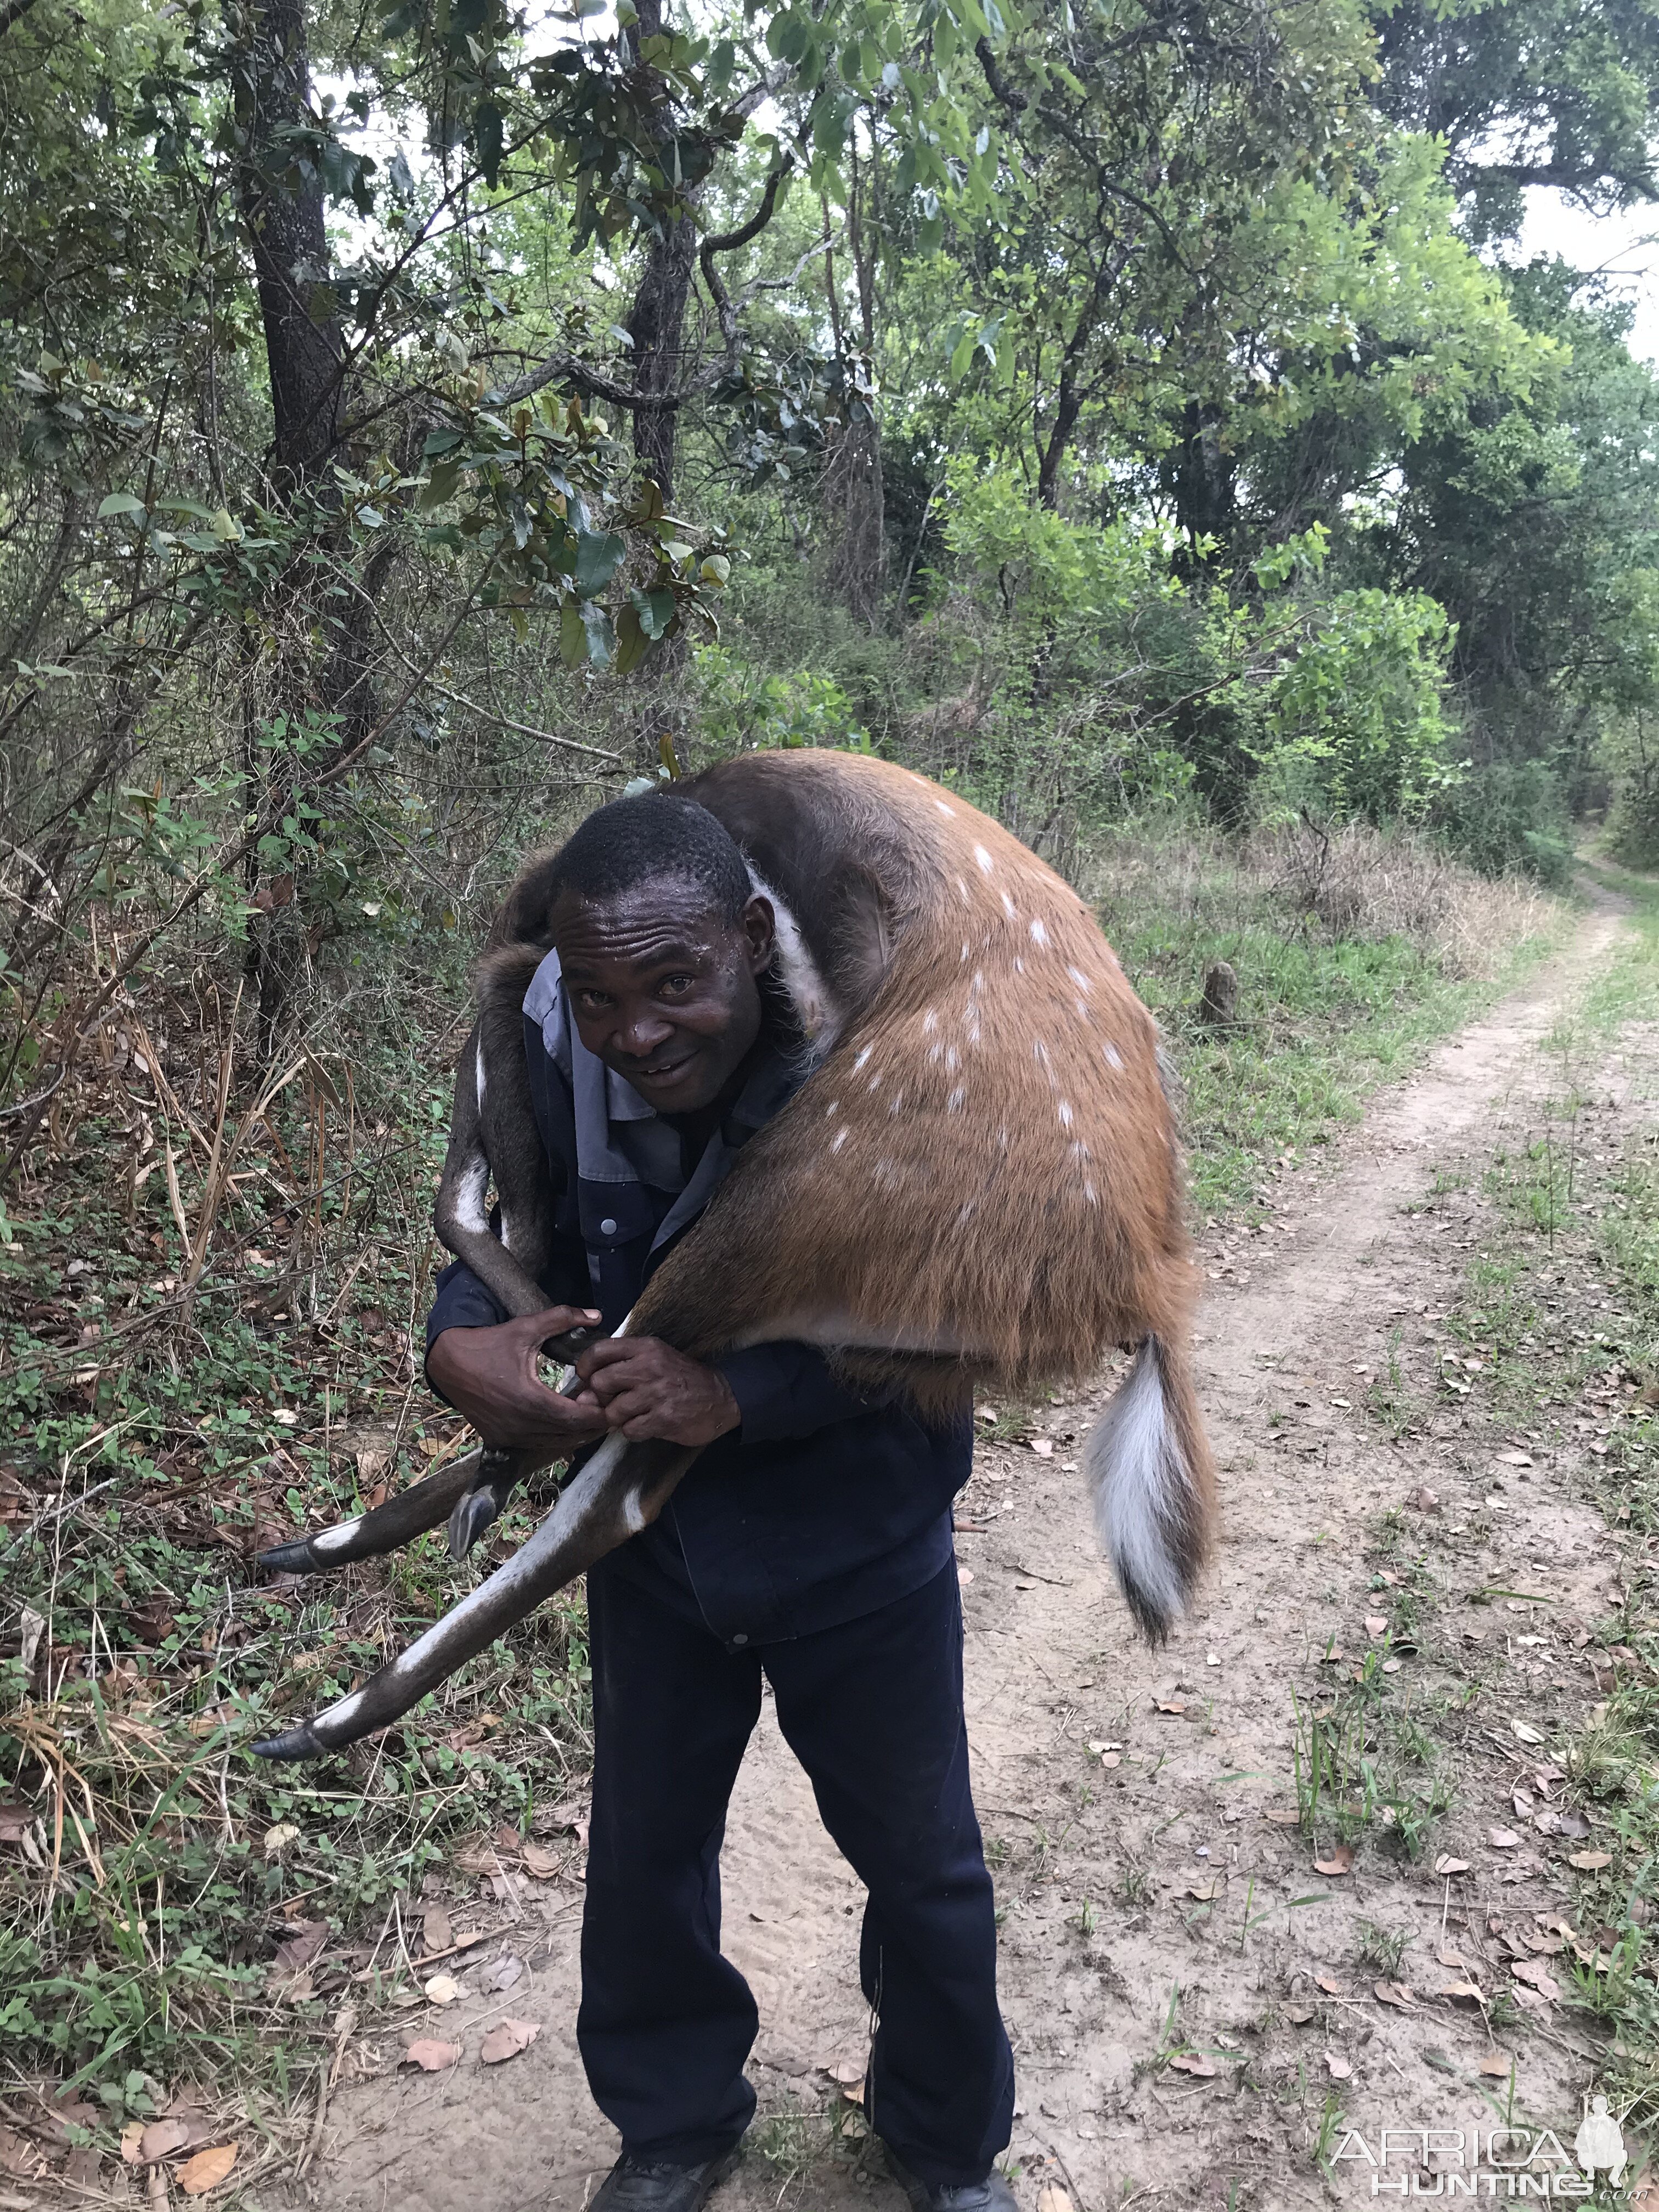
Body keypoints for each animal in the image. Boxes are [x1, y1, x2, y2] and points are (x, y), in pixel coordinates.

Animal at [256, 756, 1221, 1760]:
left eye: (671, 981)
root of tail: (1138, 1291)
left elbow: (481, 1237)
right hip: (875, 1333)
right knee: (624, 1438)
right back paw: (341, 1554)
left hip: (784, 1203)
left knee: (615, 1471)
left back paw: (322, 1708)